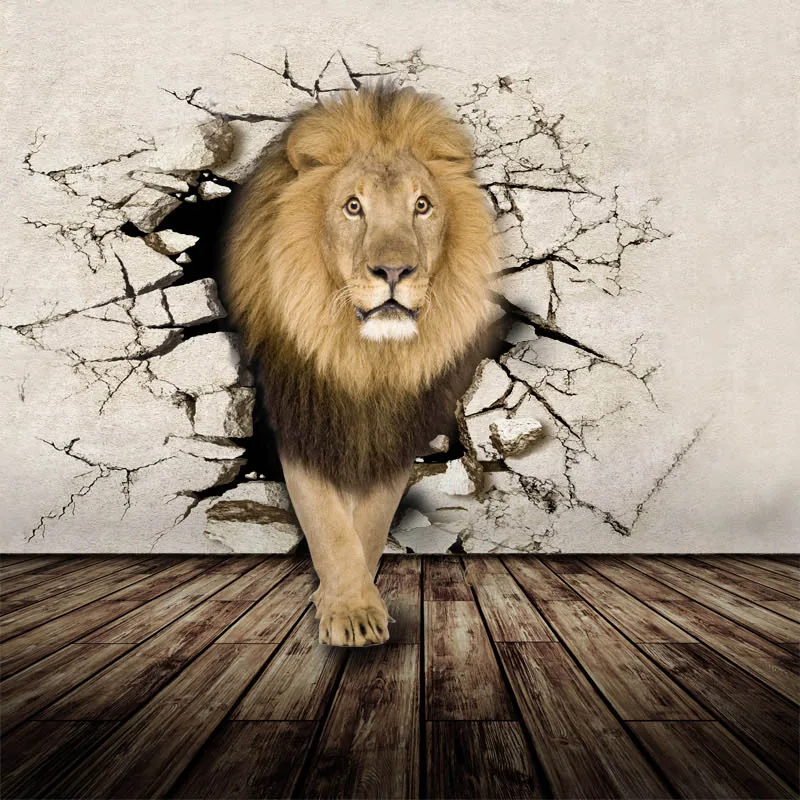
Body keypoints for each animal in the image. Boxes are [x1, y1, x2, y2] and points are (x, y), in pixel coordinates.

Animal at [223, 81, 500, 646]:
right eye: (353, 206)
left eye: (422, 205)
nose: (393, 270)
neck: (365, 359)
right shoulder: (299, 412)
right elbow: (326, 522)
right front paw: (348, 613)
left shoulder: (397, 426)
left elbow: (370, 521)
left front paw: (353, 604)